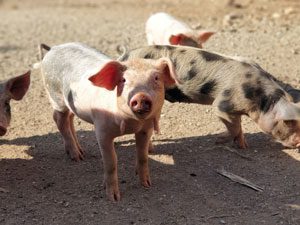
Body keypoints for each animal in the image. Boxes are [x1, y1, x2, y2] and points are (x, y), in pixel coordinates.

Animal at [120, 44, 300, 149]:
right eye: (287, 123)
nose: (298, 142)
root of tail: (123, 57)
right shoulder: (222, 104)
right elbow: (233, 126)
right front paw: (220, 140)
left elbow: (238, 127)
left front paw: (244, 145)